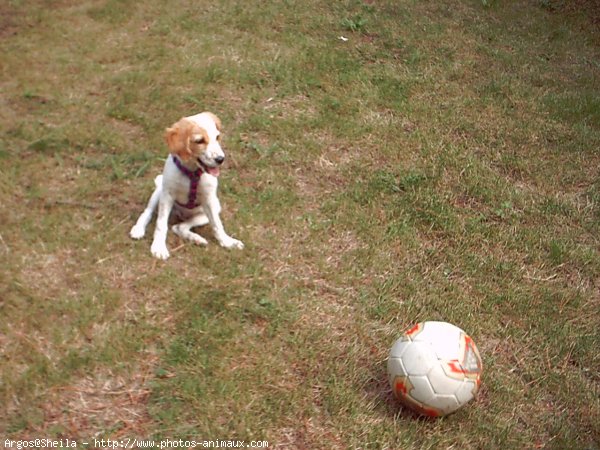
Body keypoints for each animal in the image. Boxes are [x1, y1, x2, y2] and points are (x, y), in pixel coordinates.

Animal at [131, 112, 244, 260]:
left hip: (212, 208)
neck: (192, 173)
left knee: (179, 227)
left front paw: (227, 242)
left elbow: (217, 224)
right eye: (199, 141)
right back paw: (138, 229)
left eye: (217, 137)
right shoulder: (167, 195)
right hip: (160, 191)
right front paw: (159, 246)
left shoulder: (209, 199)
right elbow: (161, 224)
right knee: (148, 212)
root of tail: (181, 214)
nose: (220, 159)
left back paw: (196, 239)